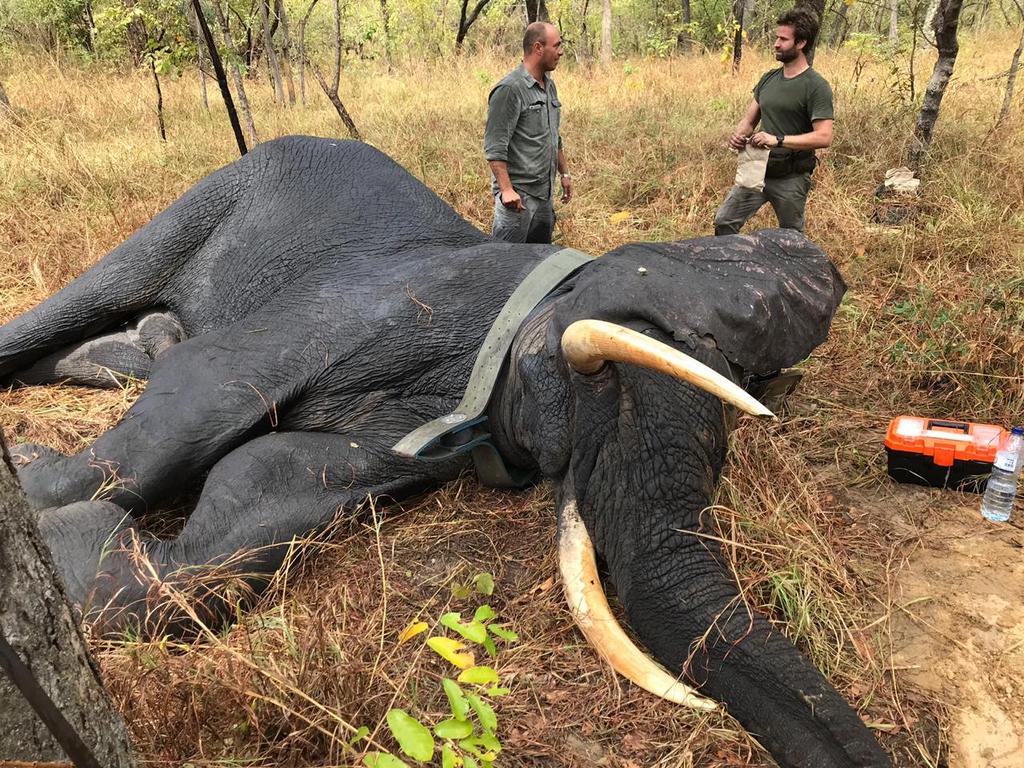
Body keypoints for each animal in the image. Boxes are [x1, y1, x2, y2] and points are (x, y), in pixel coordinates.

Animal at [0, 138, 888, 768]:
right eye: (600, 377)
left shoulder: (408, 439)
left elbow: (241, 518)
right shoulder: (373, 304)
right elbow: (202, 393)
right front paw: (34, 490)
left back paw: (128, 348)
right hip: (214, 193)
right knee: (96, 297)